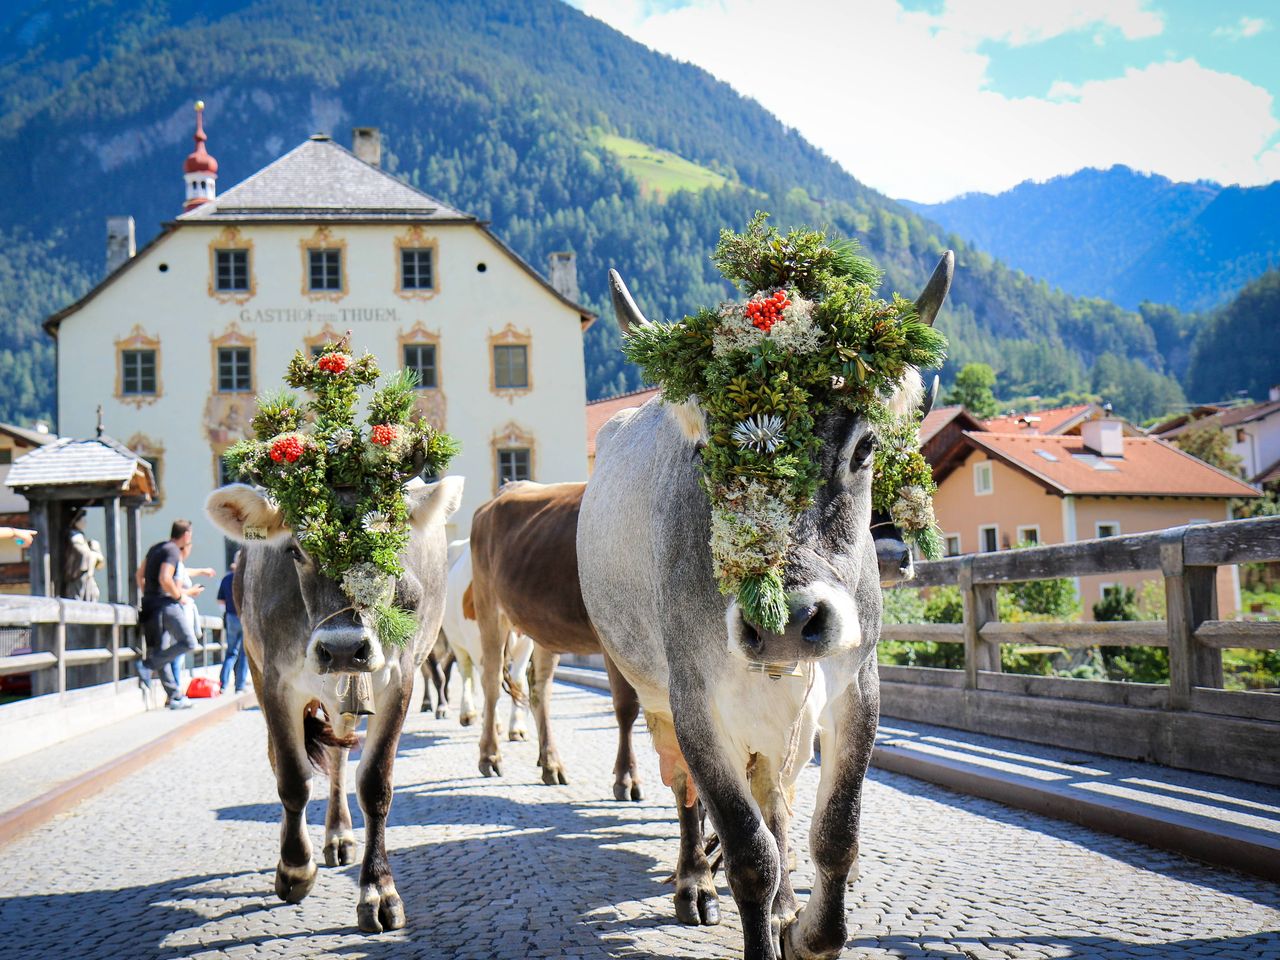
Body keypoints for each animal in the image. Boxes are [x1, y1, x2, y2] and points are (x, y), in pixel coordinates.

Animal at [207, 478, 468, 936]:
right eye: (295, 549)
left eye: (389, 541)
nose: (344, 648)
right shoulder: (276, 680)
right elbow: (293, 777)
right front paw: (295, 868)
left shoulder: (398, 678)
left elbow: (375, 783)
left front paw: (378, 890)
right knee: (284, 759)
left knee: (338, 757)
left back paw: (339, 837)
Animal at [468, 481, 645, 803]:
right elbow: (627, 706)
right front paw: (626, 778)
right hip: (489, 608)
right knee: (491, 683)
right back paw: (490, 757)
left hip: (543, 627)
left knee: (540, 689)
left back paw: (550, 763)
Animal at [578, 257, 952, 960]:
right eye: (704, 453)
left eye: (864, 447)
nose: (786, 623)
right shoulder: (696, 704)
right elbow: (748, 851)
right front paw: (753, 910)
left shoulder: (856, 689)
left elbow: (834, 834)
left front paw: (807, 932)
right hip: (655, 696)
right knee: (686, 794)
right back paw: (695, 881)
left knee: (774, 798)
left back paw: (782, 907)